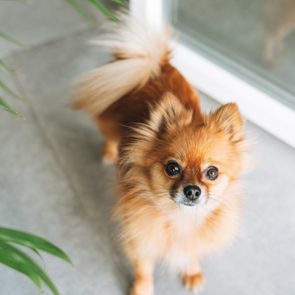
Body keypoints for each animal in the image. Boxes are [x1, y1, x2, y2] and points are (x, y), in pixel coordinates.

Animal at [75, 16, 249, 295]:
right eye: (172, 168)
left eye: (212, 172)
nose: (192, 190)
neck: (181, 219)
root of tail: (156, 65)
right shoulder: (140, 239)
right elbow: (144, 269)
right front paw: (142, 289)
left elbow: (190, 252)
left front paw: (192, 272)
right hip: (108, 119)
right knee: (109, 135)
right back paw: (110, 152)